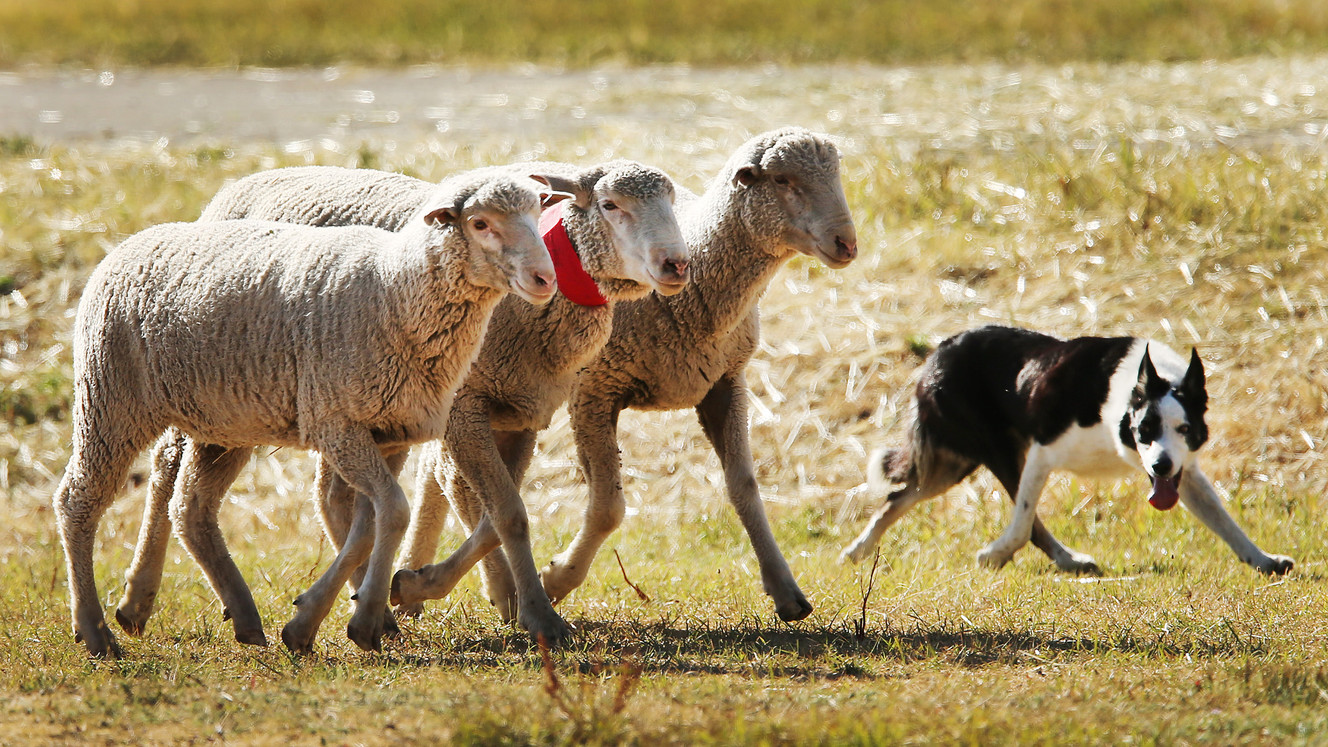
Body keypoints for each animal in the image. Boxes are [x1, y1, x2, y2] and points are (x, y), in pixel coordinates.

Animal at [53, 169, 557, 658]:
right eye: (480, 223)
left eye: (538, 214)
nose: (545, 280)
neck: (394, 288)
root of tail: (130, 242)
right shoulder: (336, 421)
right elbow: (393, 512)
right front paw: (365, 618)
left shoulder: (385, 429)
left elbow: (369, 523)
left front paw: (315, 621)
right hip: (110, 399)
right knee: (77, 500)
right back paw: (95, 631)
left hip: (222, 424)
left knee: (190, 505)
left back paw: (244, 617)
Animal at [114, 161, 691, 647]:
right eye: (611, 205)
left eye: (671, 200)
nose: (676, 264)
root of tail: (238, 185)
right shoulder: (463, 407)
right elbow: (507, 513)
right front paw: (535, 613)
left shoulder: (519, 413)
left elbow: (497, 517)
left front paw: (421, 584)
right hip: (207, 387)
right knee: (166, 470)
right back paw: (138, 599)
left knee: (334, 498)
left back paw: (356, 599)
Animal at [401, 128, 859, 625]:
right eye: (781, 179)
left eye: (837, 172)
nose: (847, 243)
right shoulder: (595, 391)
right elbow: (607, 509)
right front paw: (557, 579)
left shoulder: (724, 383)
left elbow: (745, 488)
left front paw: (785, 589)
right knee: (456, 482)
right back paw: (473, 586)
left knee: (437, 476)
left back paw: (419, 579)